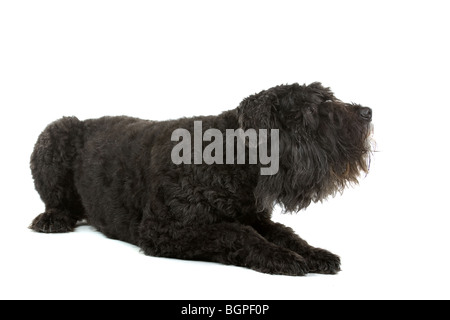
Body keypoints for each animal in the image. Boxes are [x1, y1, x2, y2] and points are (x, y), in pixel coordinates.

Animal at [29, 82, 372, 276]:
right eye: (314, 109)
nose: (367, 112)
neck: (231, 161)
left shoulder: (255, 217)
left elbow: (286, 233)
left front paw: (315, 253)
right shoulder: (165, 231)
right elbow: (236, 234)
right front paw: (281, 257)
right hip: (54, 132)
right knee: (56, 202)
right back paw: (52, 219)